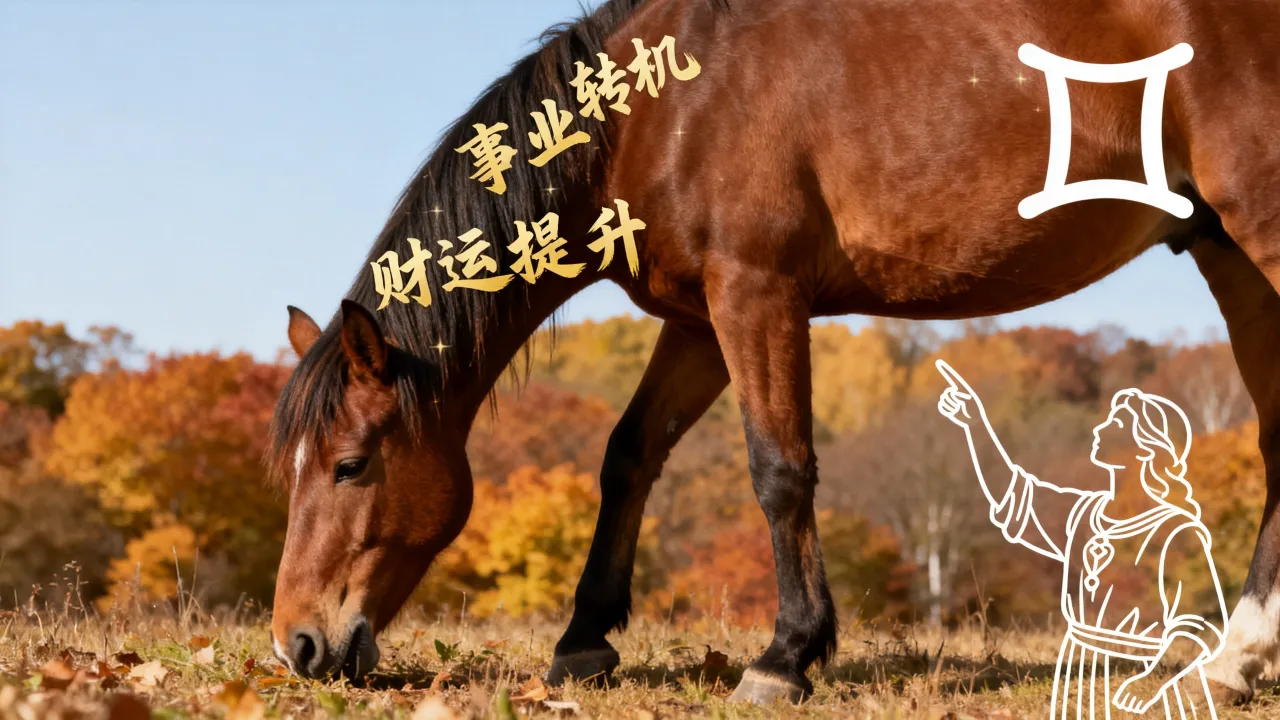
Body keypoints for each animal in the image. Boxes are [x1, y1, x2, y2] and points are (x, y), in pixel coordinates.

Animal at [266, 0, 1280, 705]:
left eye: (351, 465)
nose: (297, 646)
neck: (660, 112)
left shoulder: (757, 294)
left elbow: (779, 469)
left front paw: (786, 657)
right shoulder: (698, 322)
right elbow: (629, 455)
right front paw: (584, 640)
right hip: (1228, 250)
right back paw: (1233, 663)